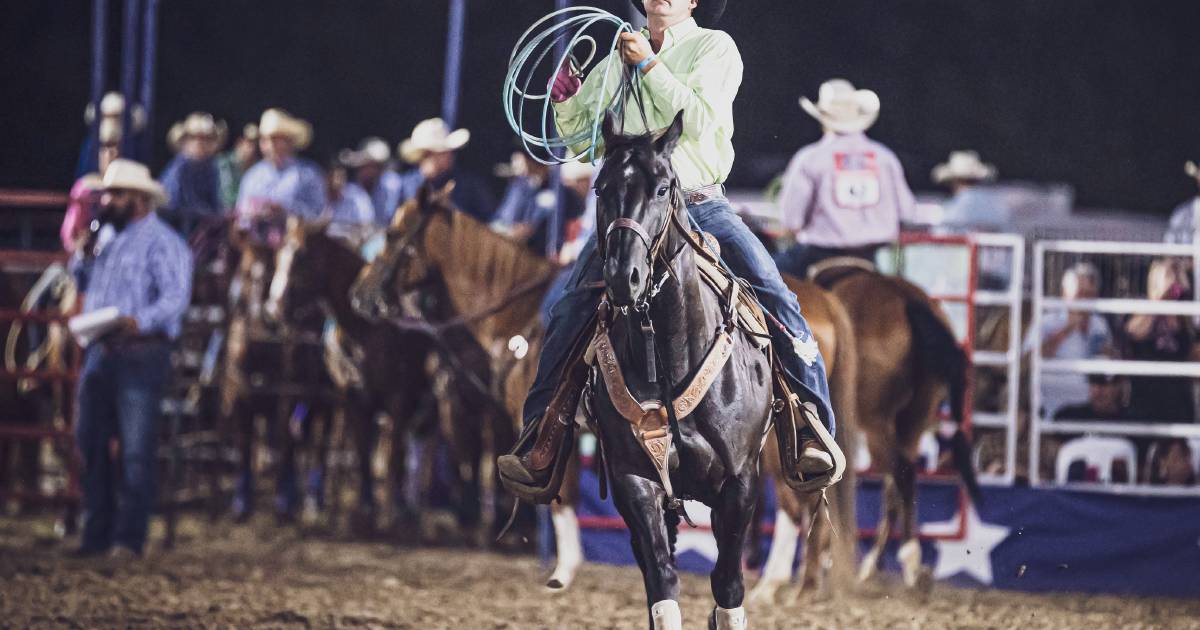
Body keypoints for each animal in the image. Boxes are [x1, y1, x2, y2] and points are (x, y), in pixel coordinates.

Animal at [588, 114, 768, 628]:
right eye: (600, 187)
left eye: (664, 188)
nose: (623, 276)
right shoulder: (635, 477)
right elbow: (662, 581)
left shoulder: (739, 484)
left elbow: (728, 586)